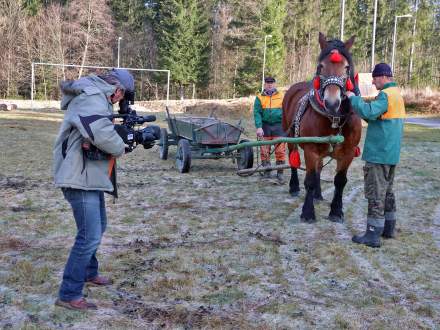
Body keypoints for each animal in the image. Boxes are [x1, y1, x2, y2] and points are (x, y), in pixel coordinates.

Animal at [282, 33, 360, 223]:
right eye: (320, 66)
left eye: (346, 67)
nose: (332, 103)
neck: (334, 118)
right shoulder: (311, 149)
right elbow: (309, 180)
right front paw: (307, 212)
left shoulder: (348, 152)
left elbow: (340, 181)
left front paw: (336, 211)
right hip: (291, 136)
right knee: (293, 158)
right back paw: (294, 187)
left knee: (319, 167)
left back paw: (317, 194)